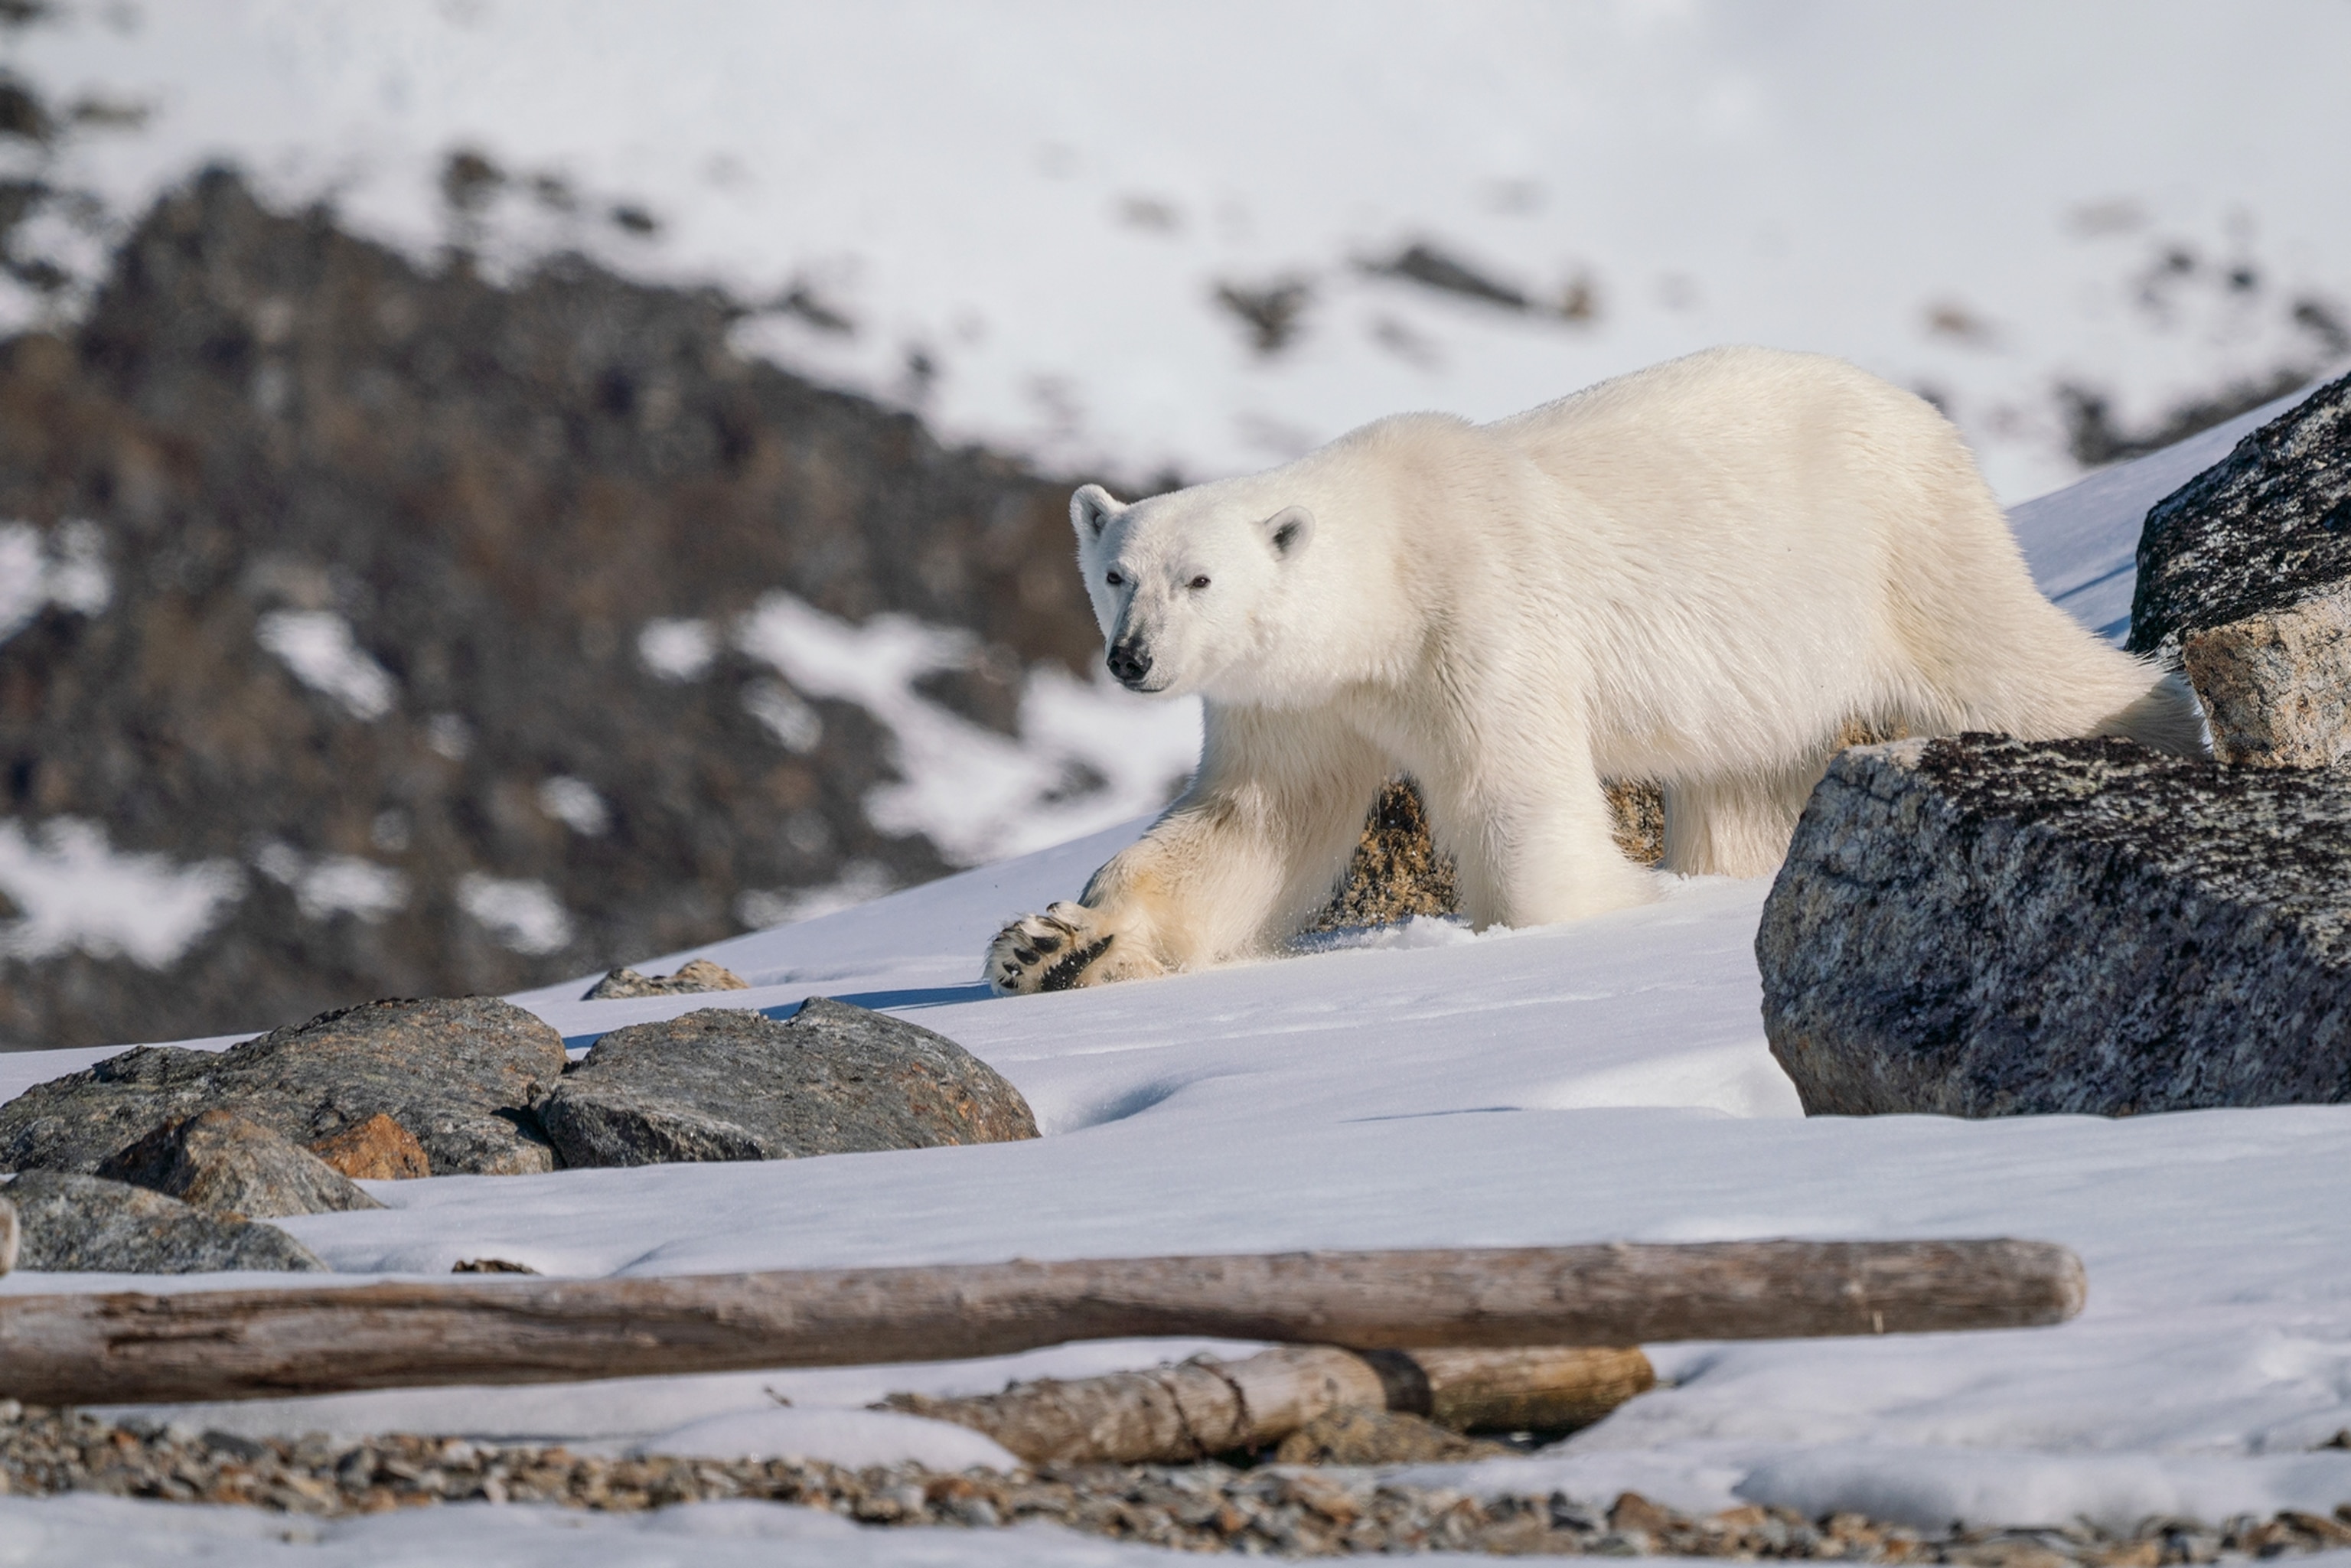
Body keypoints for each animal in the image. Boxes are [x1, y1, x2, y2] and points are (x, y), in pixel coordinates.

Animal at [986, 345, 2204, 995]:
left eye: (1199, 579)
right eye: (1115, 572)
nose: (1133, 659)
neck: (1388, 567)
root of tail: (1924, 414)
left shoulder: (1478, 614)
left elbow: (1515, 795)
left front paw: (1589, 911)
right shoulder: (1303, 699)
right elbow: (1250, 820)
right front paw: (1052, 943)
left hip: (1899, 549)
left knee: (2010, 665)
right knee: (1741, 784)